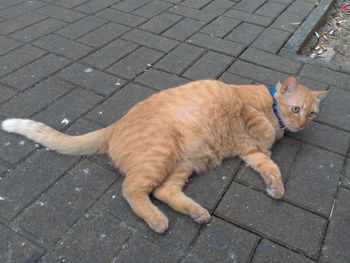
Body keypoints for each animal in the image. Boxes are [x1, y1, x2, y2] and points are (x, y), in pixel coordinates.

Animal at [2, 76, 330, 233]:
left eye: (312, 114)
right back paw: (157, 220)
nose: (302, 125)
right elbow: (260, 127)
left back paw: (196, 213)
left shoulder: (249, 151)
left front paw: (275, 187)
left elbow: (270, 166)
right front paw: (268, 132)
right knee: (131, 189)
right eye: (296, 109)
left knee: (162, 191)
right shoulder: (241, 107)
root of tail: (114, 125)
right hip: (160, 155)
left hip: (182, 165)